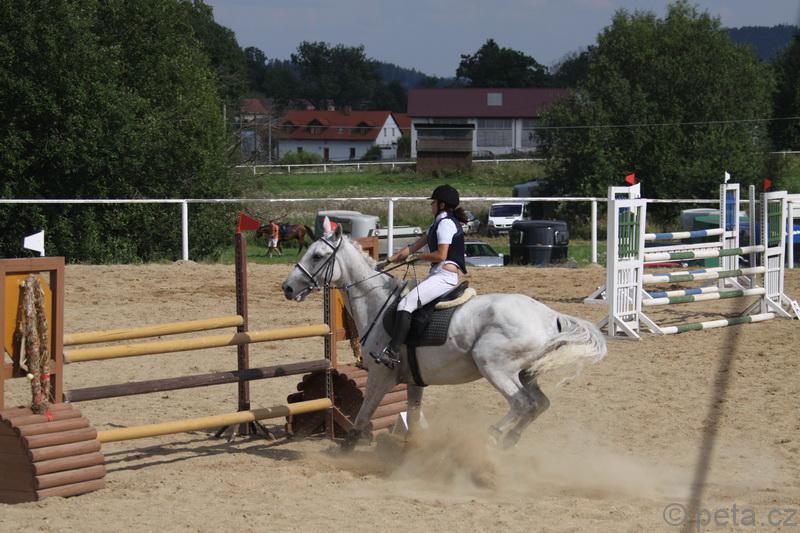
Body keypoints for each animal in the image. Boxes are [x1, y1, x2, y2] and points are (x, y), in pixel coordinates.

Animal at [281, 218, 607, 451]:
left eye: (318, 255)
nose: (287, 288)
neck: (376, 301)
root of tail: (549, 316)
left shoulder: (380, 375)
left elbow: (363, 413)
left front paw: (346, 449)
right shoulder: (413, 380)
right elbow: (412, 415)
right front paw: (412, 450)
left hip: (494, 366)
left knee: (522, 404)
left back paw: (495, 435)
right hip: (525, 372)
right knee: (539, 404)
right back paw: (509, 439)